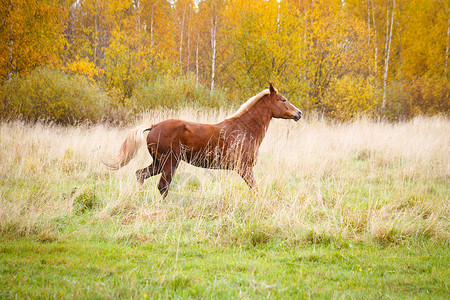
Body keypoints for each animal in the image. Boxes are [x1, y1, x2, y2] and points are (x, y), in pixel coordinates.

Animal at [104, 83, 302, 198]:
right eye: (283, 99)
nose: (298, 113)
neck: (245, 129)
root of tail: (154, 126)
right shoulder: (244, 168)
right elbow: (255, 189)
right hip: (169, 162)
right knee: (162, 186)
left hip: (159, 163)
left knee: (141, 174)